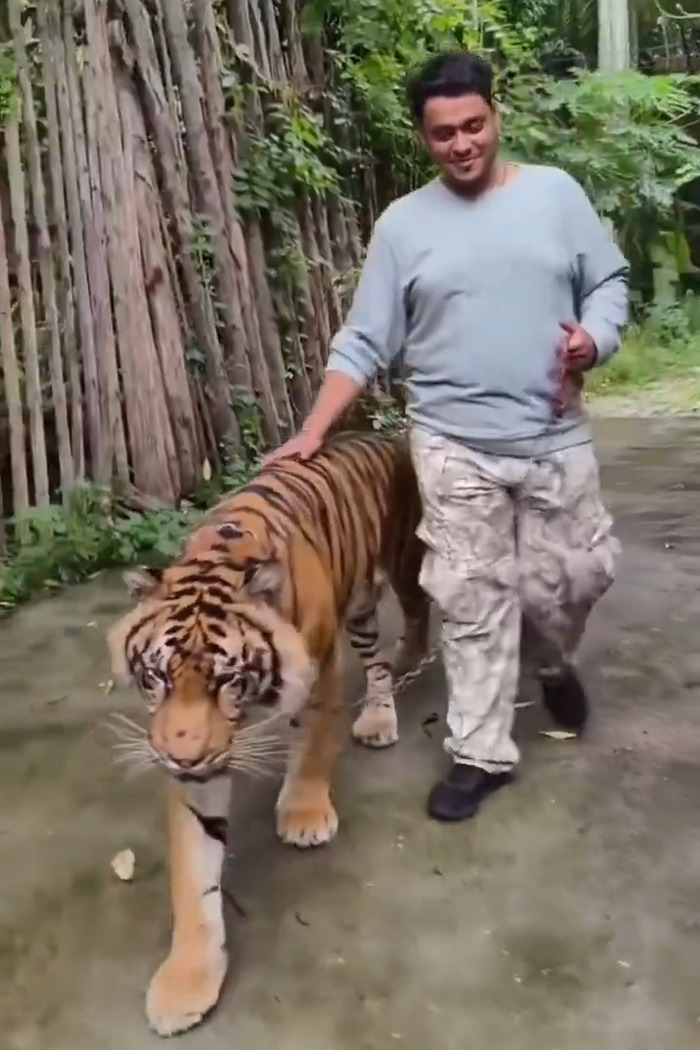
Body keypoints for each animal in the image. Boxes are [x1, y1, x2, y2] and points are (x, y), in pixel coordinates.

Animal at [106, 429, 431, 1037]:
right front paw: (186, 982)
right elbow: (194, 873)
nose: (181, 760)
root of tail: (376, 433)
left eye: (227, 680)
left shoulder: (320, 666)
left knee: (407, 630)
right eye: (158, 677)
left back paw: (388, 701)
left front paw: (304, 815)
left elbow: (314, 747)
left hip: (395, 568)